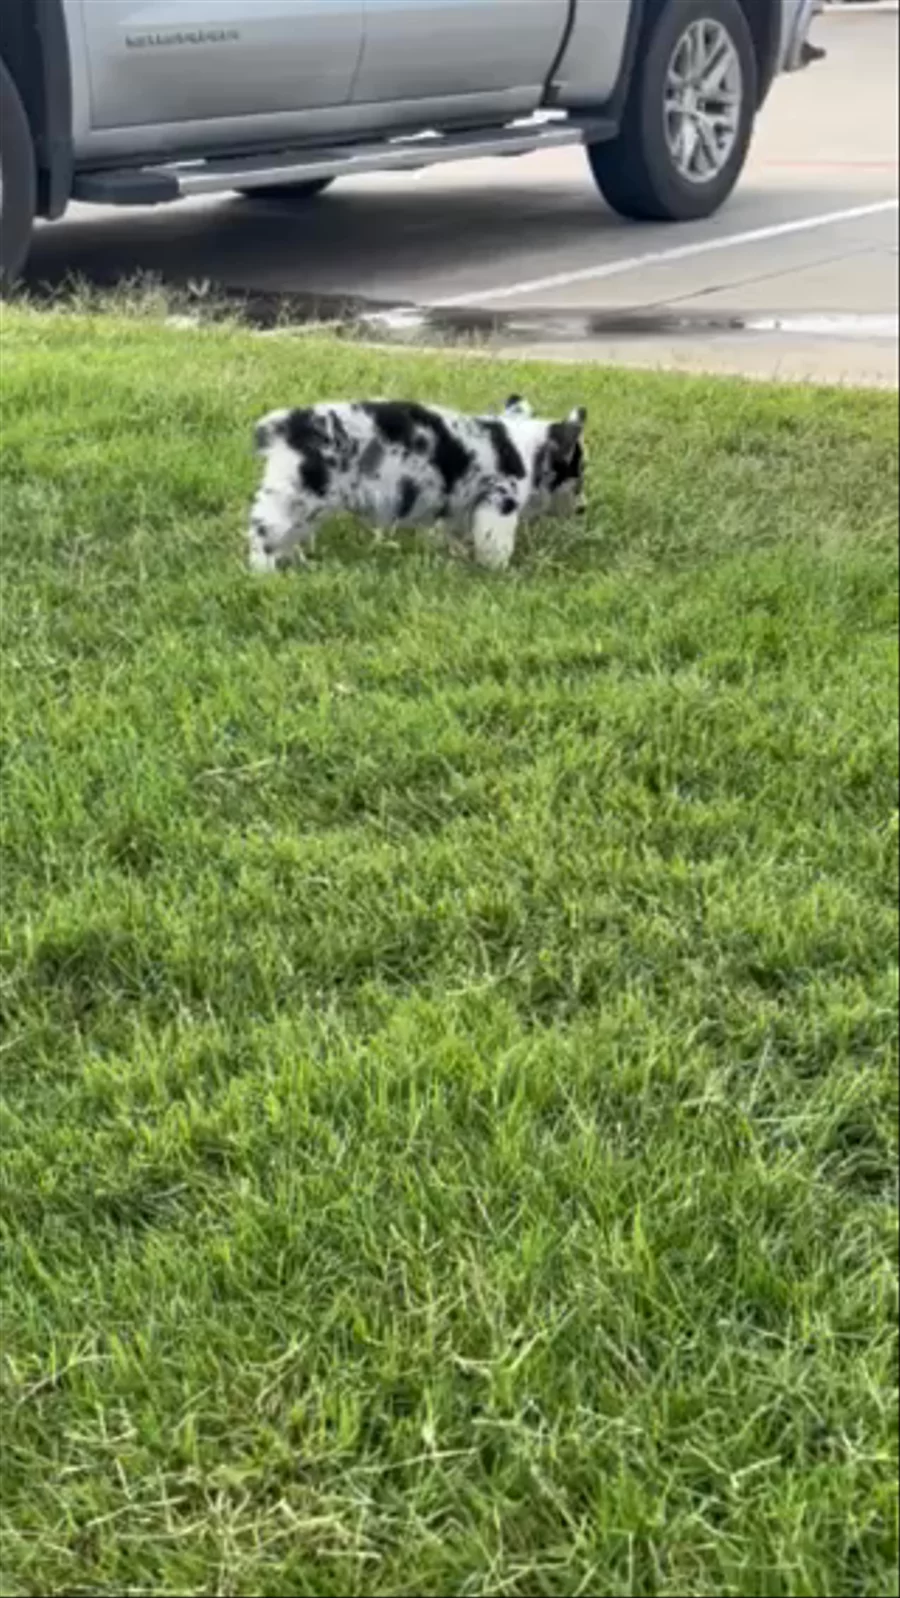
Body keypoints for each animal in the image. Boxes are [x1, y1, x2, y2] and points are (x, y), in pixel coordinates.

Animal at [247, 394, 587, 573]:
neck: (528, 450)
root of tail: (288, 427)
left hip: (306, 504)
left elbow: (453, 535)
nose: (583, 509)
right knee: (262, 533)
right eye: (580, 472)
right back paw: (264, 572)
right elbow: (496, 545)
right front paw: (500, 570)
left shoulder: (460, 509)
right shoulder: (498, 504)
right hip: (296, 498)